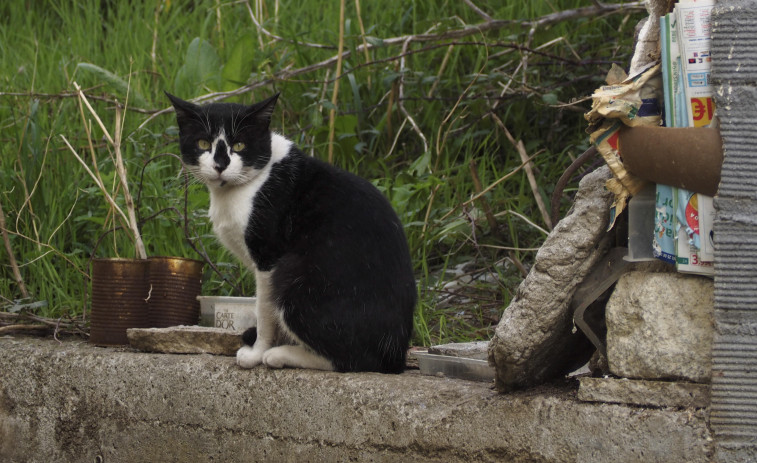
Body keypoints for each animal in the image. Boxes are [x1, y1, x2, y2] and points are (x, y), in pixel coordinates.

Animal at [166, 93, 416, 374]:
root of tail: (396, 355)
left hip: (294, 276)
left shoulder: (268, 258)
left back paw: (279, 354)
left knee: (354, 360)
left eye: (239, 144)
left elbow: (264, 311)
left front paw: (256, 352)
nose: (220, 165)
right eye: (203, 143)